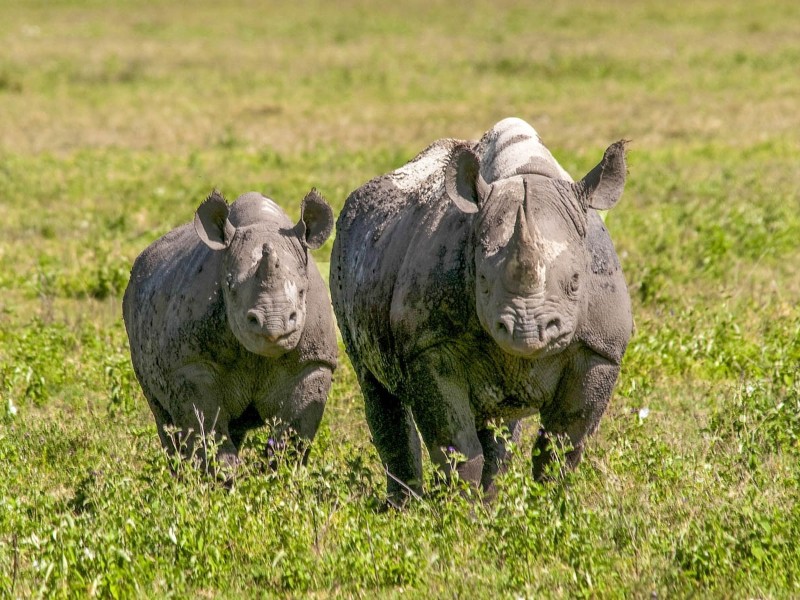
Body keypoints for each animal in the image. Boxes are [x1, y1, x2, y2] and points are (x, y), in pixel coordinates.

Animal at [123, 188, 337, 474]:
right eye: (230, 288)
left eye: (303, 291)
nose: (274, 326)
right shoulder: (191, 364)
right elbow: (206, 430)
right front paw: (221, 482)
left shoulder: (313, 363)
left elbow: (292, 438)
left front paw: (280, 479)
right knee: (164, 418)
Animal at [331, 117, 632, 502]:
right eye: (483, 280)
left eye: (576, 282)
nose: (527, 331)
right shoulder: (429, 346)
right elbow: (457, 448)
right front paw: (458, 511)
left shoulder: (599, 349)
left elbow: (561, 447)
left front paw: (550, 507)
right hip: (348, 250)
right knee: (375, 386)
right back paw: (402, 508)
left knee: (500, 424)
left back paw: (488, 504)